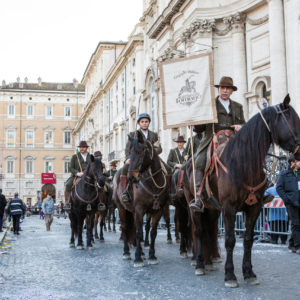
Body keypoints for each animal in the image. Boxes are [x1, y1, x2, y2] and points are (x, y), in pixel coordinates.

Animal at [113, 132, 169, 268]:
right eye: (130, 152)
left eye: (141, 152)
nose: (131, 178)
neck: (153, 184)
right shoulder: (139, 210)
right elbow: (139, 232)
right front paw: (137, 258)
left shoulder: (158, 210)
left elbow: (153, 232)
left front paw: (152, 256)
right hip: (121, 208)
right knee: (124, 227)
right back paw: (127, 252)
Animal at [186, 95, 298, 288]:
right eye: (293, 120)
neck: (242, 164)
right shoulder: (229, 209)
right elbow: (230, 240)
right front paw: (230, 275)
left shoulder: (254, 208)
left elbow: (248, 240)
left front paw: (249, 273)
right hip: (195, 207)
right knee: (199, 232)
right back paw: (200, 264)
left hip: (212, 209)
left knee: (210, 231)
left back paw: (209, 262)